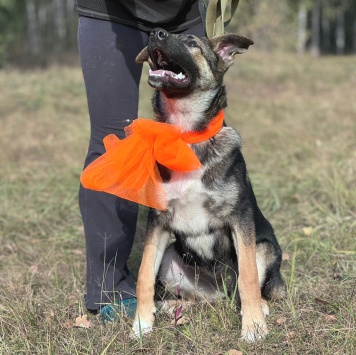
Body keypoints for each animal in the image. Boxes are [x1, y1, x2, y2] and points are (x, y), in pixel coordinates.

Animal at [131, 29, 284, 342]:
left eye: (192, 43)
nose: (155, 33)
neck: (185, 136)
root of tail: (218, 288)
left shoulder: (240, 219)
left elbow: (249, 277)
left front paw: (253, 327)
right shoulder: (158, 221)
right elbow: (143, 275)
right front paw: (142, 323)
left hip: (264, 248)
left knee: (247, 289)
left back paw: (258, 308)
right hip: (172, 261)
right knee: (205, 299)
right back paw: (171, 306)